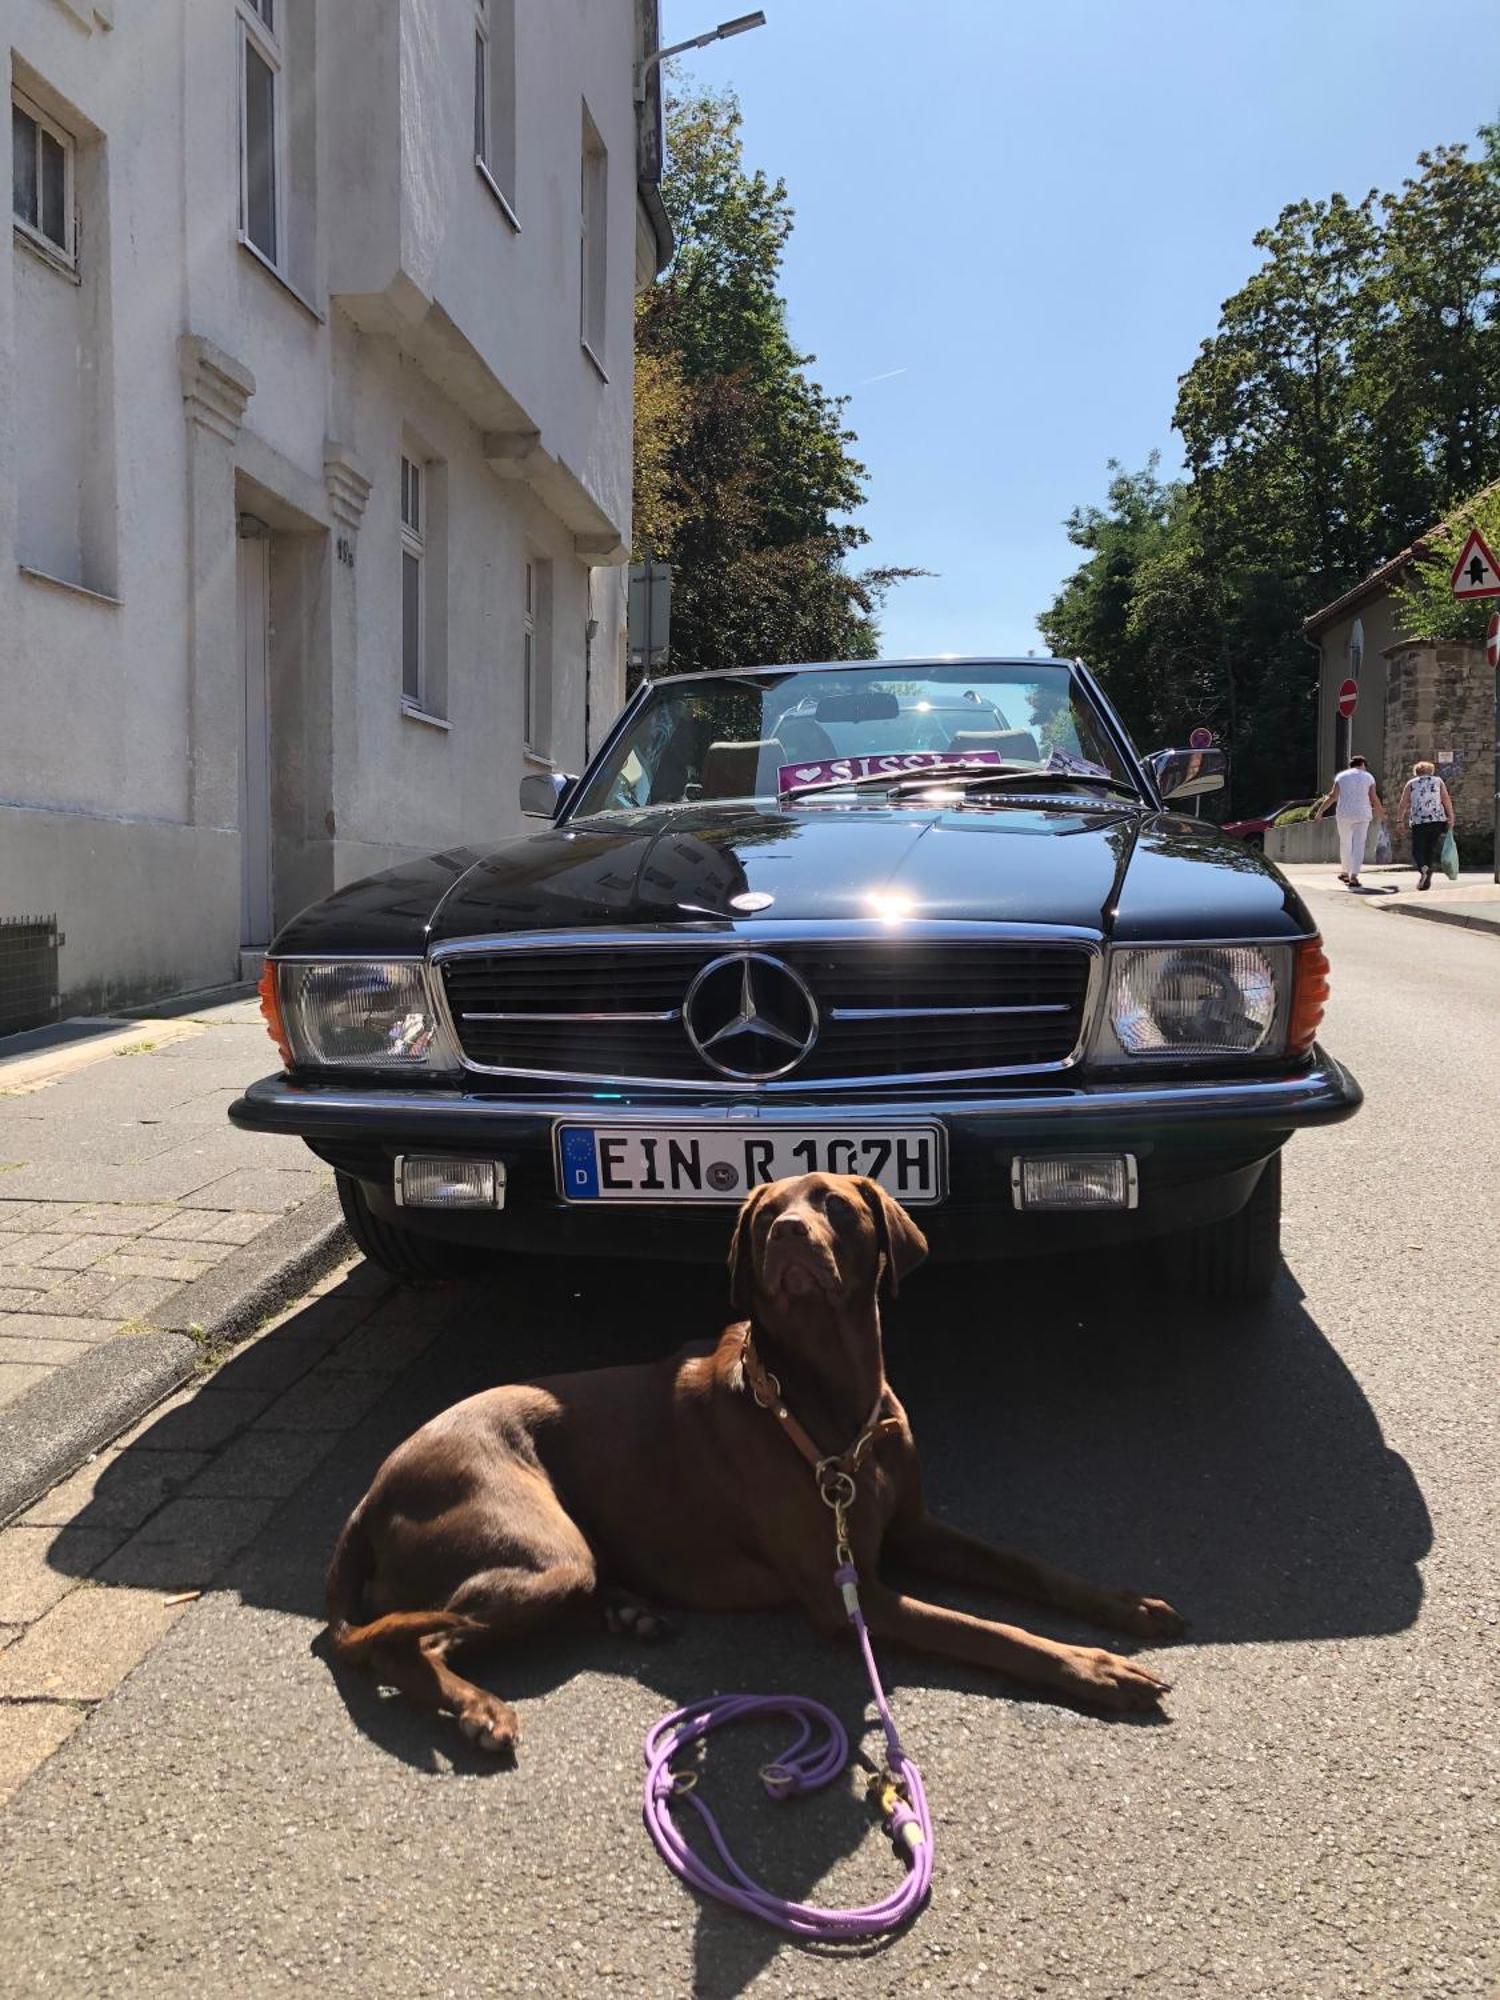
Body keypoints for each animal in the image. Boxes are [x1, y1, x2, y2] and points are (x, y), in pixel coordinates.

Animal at [328, 1168, 1184, 1752]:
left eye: (835, 1204)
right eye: (769, 1212)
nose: (788, 1236)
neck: (832, 1400)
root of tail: (368, 1497)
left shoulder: (912, 1529)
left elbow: (1025, 1568)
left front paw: (1124, 1606)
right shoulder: (852, 1595)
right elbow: (989, 1630)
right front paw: (1097, 1669)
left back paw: (626, 1610)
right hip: (544, 1550)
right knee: (399, 1642)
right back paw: (477, 1709)